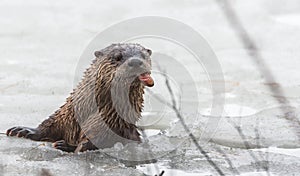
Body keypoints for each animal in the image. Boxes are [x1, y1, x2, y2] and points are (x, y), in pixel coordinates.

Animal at [5, 43, 154, 152]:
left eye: (143, 56)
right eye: (117, 57)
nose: (136, 62)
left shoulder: (112, 127)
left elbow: (92, 143)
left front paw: (69, 146)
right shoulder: (68, 112)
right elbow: (50, 123)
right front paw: (24, 130)